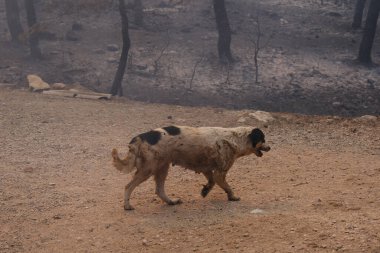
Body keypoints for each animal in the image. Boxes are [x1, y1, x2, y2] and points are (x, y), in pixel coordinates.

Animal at [110, 124, 270, 210]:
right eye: (263, 139)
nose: (270, 147)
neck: (236, 138)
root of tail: (140, 137)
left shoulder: (207, 170)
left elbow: (211, 182)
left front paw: (205, 191)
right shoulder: (220, 173)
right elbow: (227, 187)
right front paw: (232, 197)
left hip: (162, 168)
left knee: (159, 190)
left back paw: (171, 202)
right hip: (147, 170)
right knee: (128, 186)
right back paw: (127, 206)